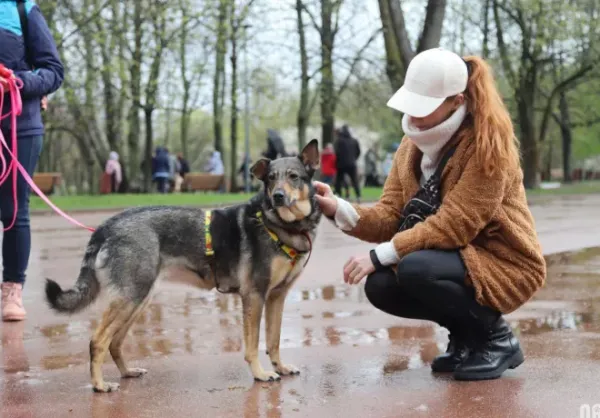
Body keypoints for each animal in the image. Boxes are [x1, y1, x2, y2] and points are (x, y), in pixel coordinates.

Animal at [45, 140, 324, 392]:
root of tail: (107, 226)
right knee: (98, 341)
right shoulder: (254, 296)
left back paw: (127, 372)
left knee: (115, 342)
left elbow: (274, 340)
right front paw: (260, 374)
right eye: (271, 179)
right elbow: (253, 345)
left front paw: (281, 368)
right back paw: (99, 385)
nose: (278, 197)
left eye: (294, 177)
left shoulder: (277, 296)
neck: (277, 224)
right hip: (130, 298)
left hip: (138, 300)